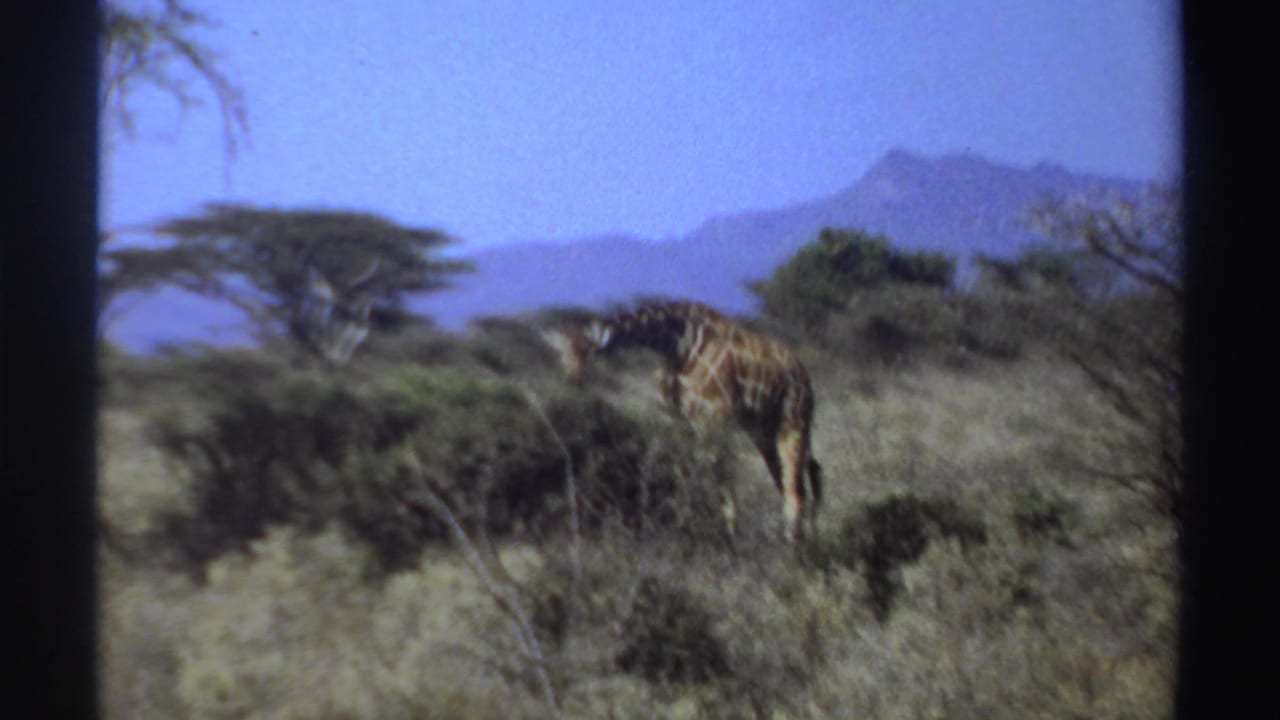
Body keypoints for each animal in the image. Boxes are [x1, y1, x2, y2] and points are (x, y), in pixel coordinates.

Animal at [542, 301, 823, 543]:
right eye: (559, 354)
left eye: (586, 350)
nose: (573, 382)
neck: (675, 346)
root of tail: (803, 374)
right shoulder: (674, 420)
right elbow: (682, 474)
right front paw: (684, 529)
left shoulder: (712, 419)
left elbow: (723, 482)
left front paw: (730, 539)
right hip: (763, 430)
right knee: (805, 475)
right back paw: (805, 538)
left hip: (792, 421)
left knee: (796, 489)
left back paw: (792, 548)